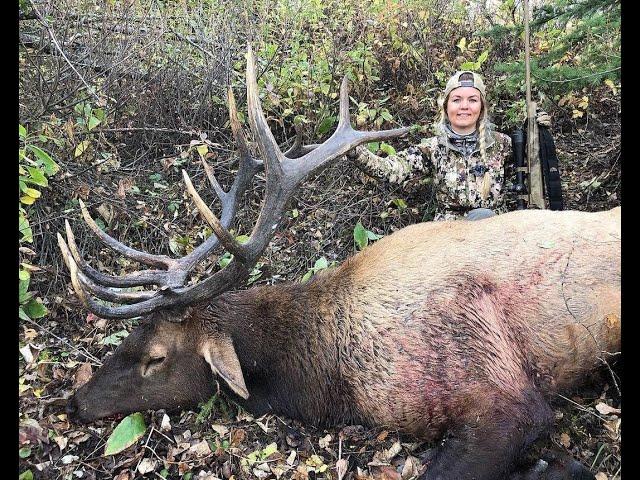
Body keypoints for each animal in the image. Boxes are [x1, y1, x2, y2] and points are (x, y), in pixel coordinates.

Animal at [58, 47, 620, 480]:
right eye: (131, 337)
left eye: (155, 358)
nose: (74, 402)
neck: (328, 376)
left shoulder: (502, 396)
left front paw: (554, 464)